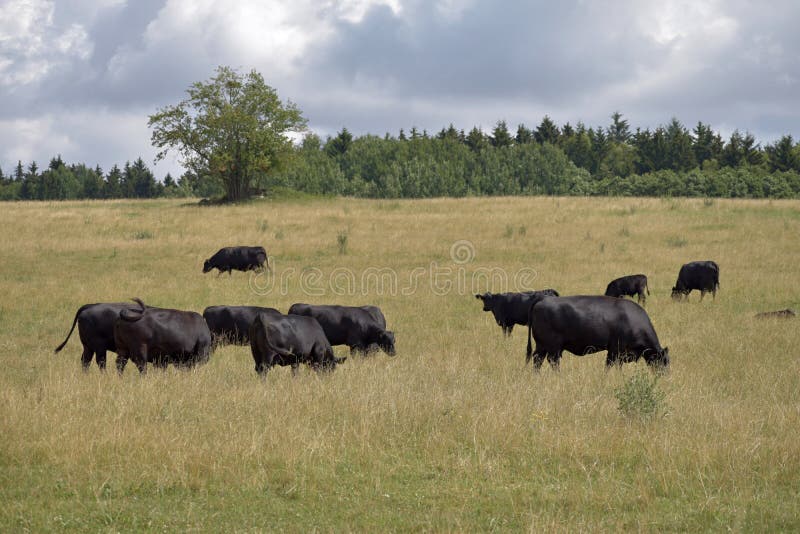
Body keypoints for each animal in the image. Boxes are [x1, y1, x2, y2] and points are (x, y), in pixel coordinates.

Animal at [524, 294, 668, 372]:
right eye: (663, 361)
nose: (664, 375)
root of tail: (542, 299)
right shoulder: (615, 350)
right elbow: (610, 365)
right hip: (553, 347)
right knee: (552, 361)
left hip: (542, 346)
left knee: (538, 360)